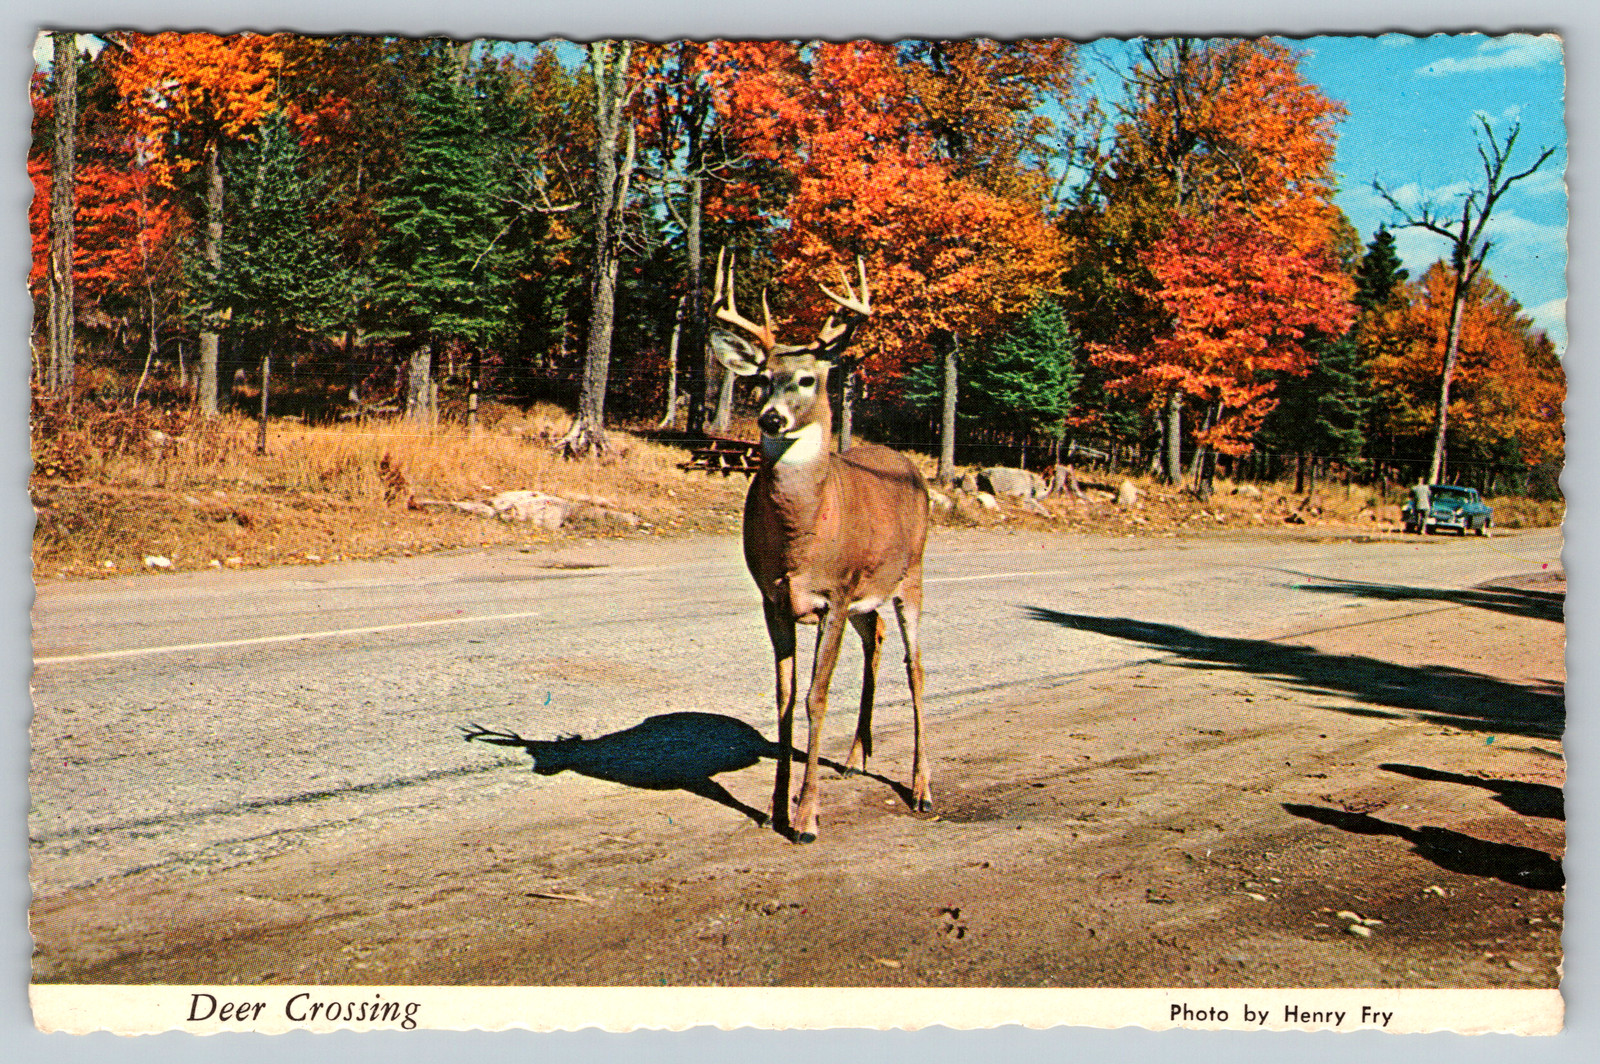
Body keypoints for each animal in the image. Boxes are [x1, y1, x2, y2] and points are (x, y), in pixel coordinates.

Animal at [709, 249, 932, 844]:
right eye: (761, 379)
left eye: (808, 379)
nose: (770, 418)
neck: (802, 537)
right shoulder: (775, 598)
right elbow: (785, 699)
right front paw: (774, 809)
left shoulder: (834, 594)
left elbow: (816, 696)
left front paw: (807, 818)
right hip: (867, 596)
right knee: (876, 642)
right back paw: (856, 757)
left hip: (911, 576)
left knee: (916, 667)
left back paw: (922, 789)